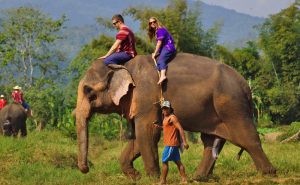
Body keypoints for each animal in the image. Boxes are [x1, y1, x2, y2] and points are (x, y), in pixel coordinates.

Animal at [75, 52, 276, 180]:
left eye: (88, 91)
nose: (85, 168)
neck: (123, 64)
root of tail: (246, 86)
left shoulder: (146, 95)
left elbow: (148, 132)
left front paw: (152, 178)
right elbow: (139, 137)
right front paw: (136, 176)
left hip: (232, 104)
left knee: (247, 138)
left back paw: (268, 173)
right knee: (211, 140)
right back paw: (199, 177)